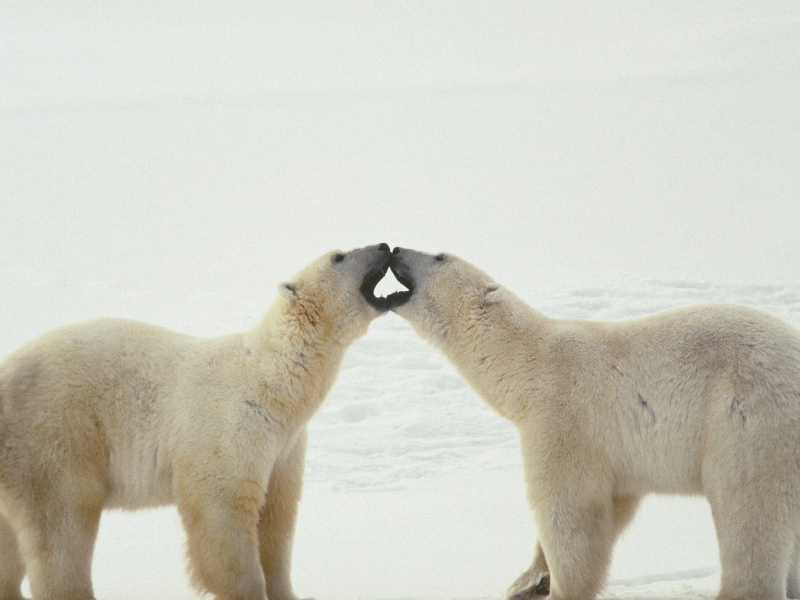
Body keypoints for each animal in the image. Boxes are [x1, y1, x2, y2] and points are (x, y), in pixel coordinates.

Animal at [0, 244, 396, 600]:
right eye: (339, 256)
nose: (383, 246)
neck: (271, 382)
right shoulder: (230, 425)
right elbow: (224, 512)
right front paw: (247, 590)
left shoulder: (286, 445)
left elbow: (277, 517)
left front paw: (287, 591)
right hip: (53, 434)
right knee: (62, 524)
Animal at [388, 245, 800, 600]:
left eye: (440, 256)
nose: (395, 249)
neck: (528, 365)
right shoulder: (618, 454)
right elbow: (614, 505)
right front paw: (528, 581)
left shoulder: (563, 419)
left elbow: (569, 512)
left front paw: (557, 589)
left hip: (749, 423)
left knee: (748, 511)